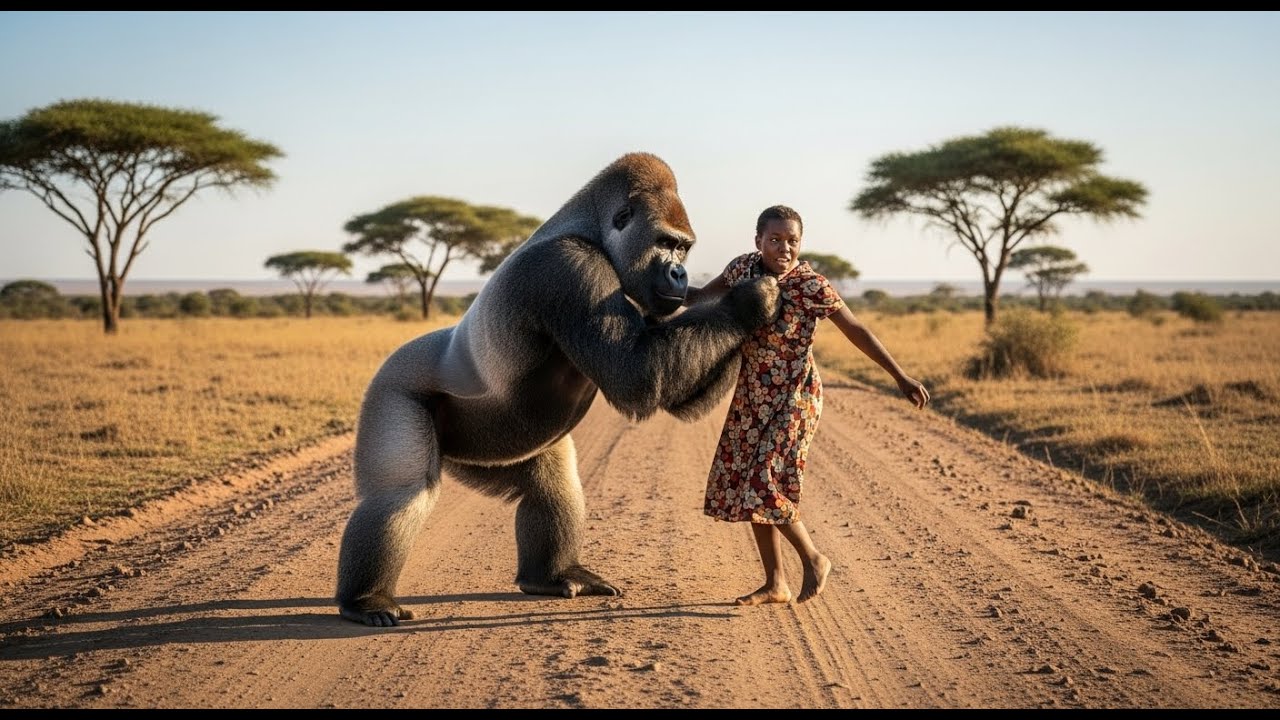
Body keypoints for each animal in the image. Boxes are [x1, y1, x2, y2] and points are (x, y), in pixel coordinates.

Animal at [335, 152, 781, 626]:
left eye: (684, 248)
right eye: (666, 243)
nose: (680, 274)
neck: (591, 230)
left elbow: (676, 394)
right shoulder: (572, 268)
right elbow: (639, 376)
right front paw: (750, 300)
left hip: (486, 451)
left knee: (551, 482)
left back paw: (548, 576)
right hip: (393, 384)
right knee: (400, 493)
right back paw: (366, 599)